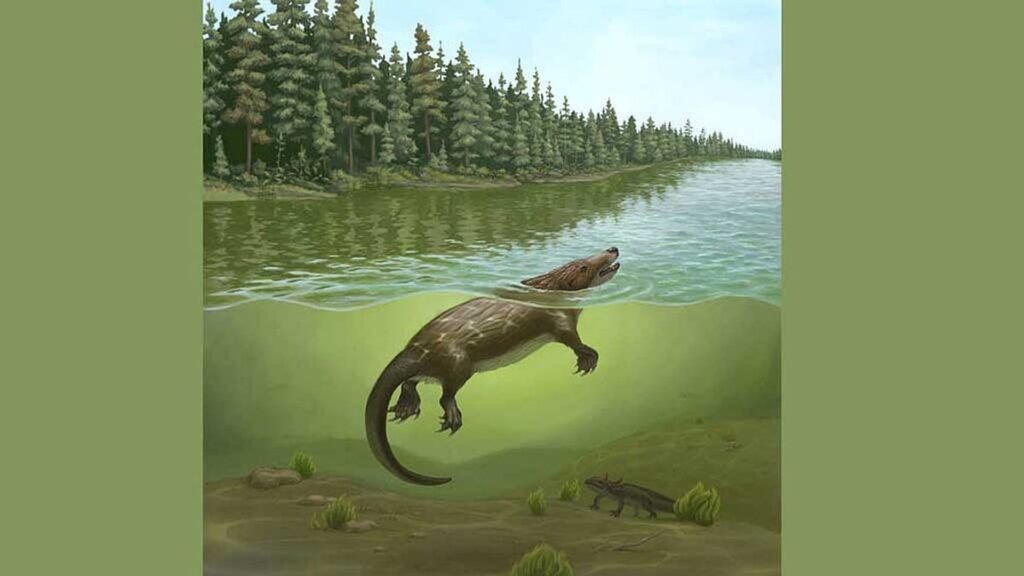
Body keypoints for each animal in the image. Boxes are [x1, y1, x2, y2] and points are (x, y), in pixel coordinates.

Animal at [365, 247, 621, 485]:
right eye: (584, 266)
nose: (612, 249)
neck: (549, 290)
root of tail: (414, 350)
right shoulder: (559, 318)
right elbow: (573, 340)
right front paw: (588, 359)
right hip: (459, 364)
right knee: (444, 394)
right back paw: (452, 416)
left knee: (411, 381)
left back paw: (405, 407)